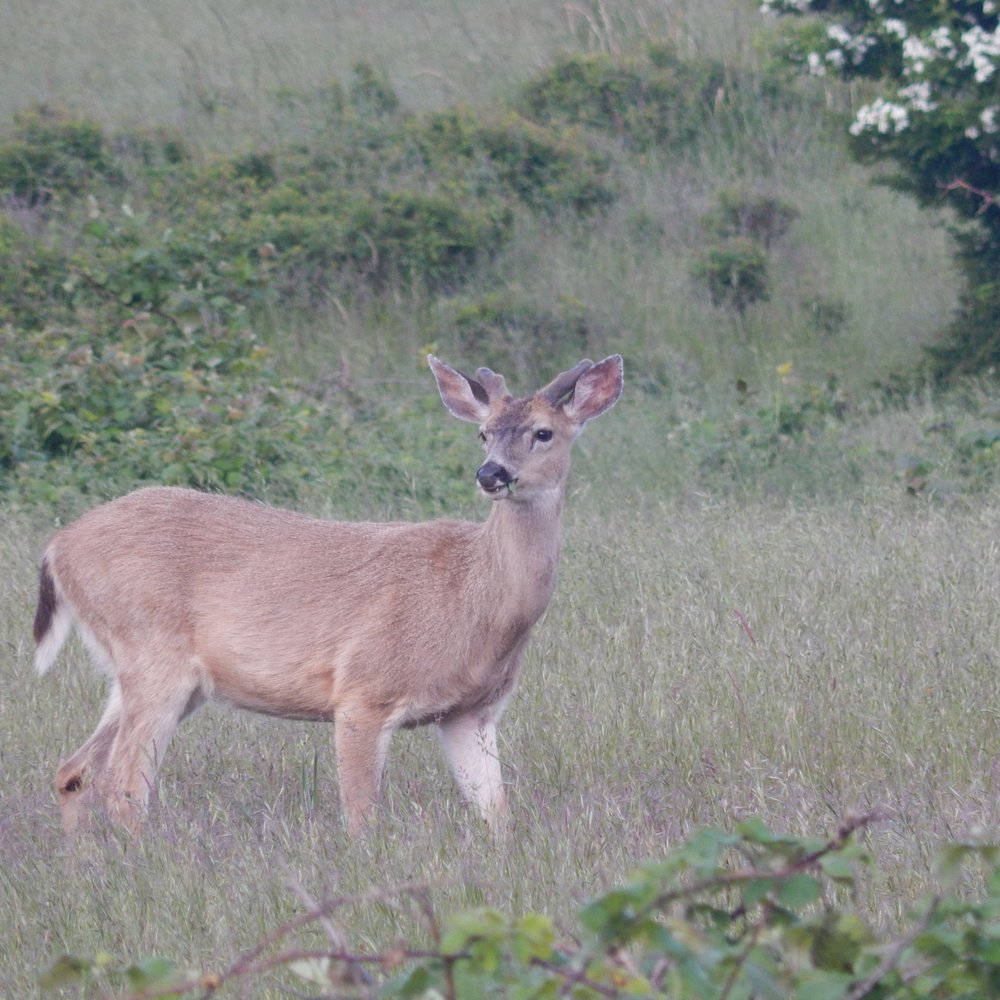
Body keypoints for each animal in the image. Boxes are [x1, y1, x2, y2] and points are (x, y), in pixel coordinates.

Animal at [32, 353, 623, 836]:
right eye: (483, 433)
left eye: (544, 432)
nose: (491, 474)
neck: (473, 597)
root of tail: (59, 546)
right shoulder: (363, 690)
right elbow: (362, 817)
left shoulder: (471, 712)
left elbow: (497, 814)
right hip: (153, 654)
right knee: (124, 787)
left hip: (143, 675)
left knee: (73, 771)